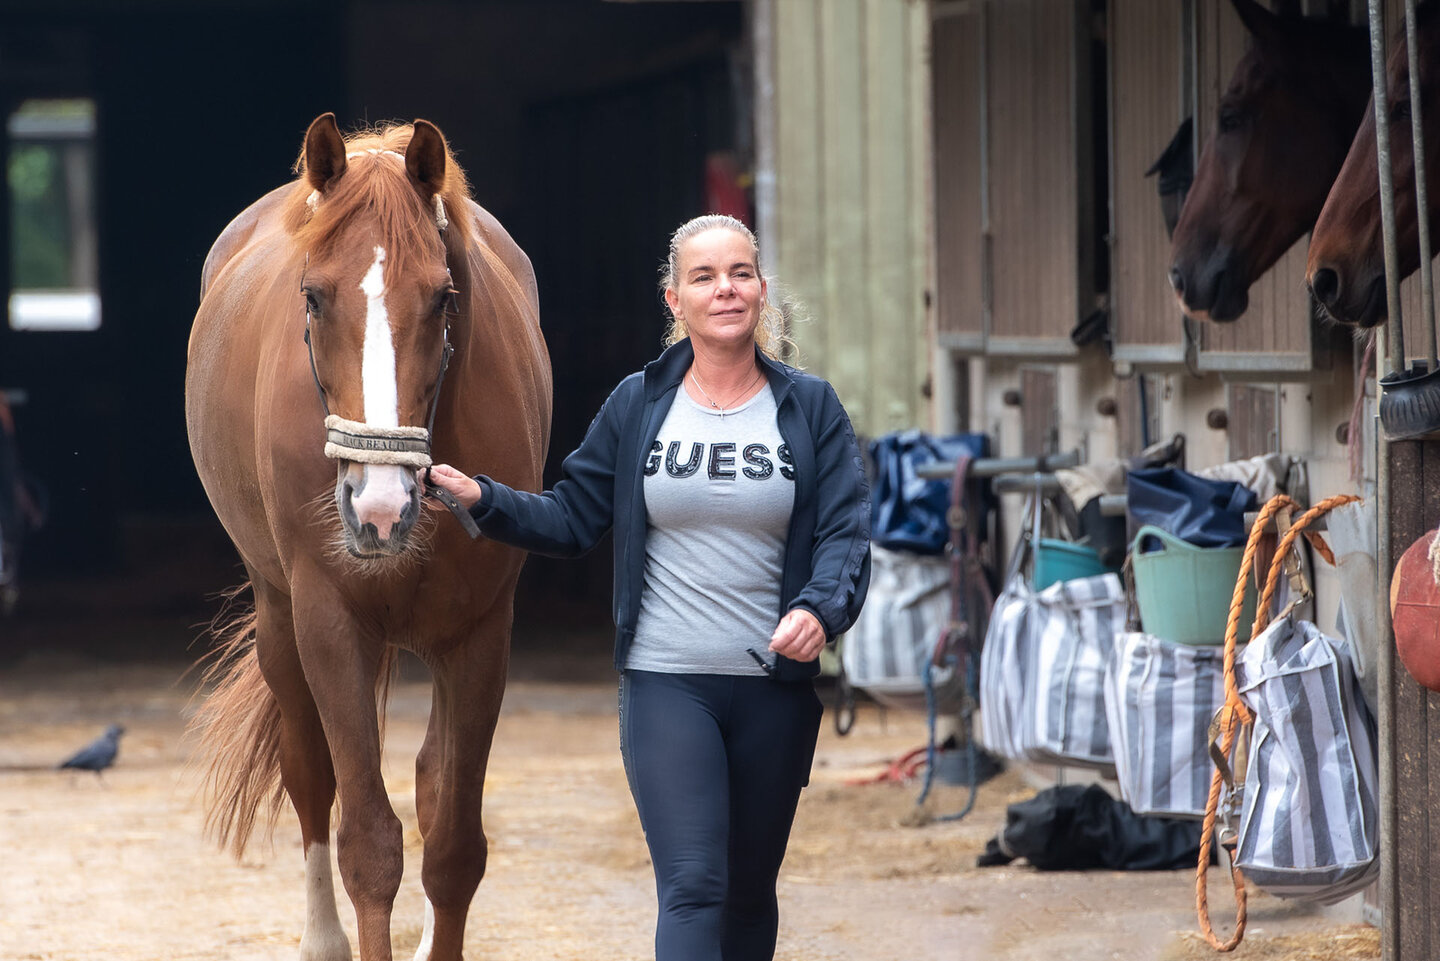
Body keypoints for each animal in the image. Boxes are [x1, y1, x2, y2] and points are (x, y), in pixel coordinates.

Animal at [184, 114, 550, 961]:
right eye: (314, 298)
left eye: (443, 298)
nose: (379, 507)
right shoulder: (330, 623)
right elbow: (370, 846)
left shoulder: (480, 635)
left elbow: (452, 844)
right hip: (280, 618)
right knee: (311, 776)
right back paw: (323, 937)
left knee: (427, 781)